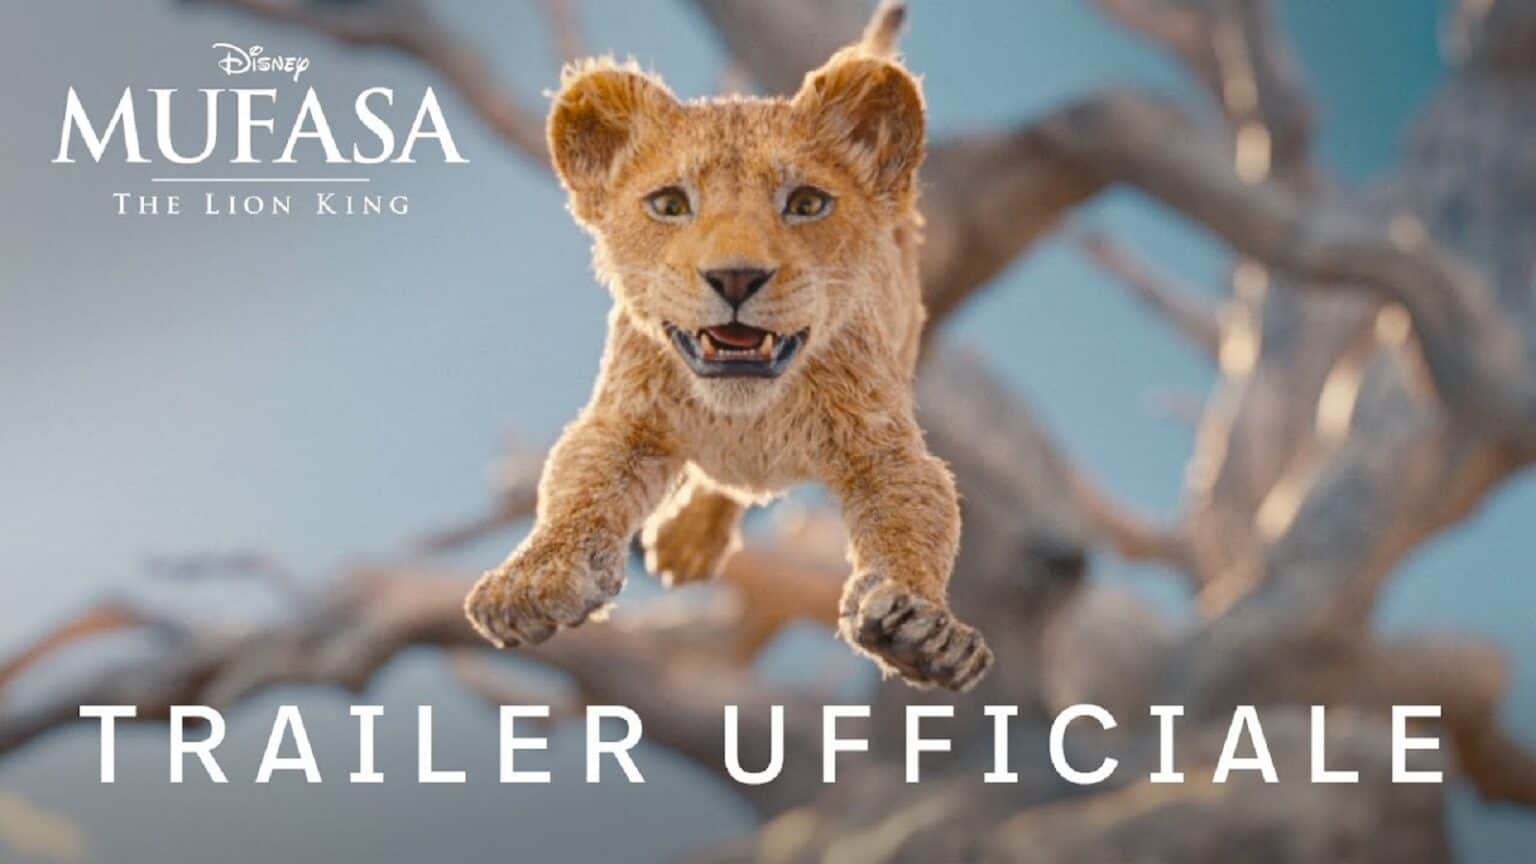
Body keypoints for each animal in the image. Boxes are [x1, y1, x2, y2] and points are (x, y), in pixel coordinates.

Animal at [463, 37, 993, 691]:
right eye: (669, 203)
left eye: (807, 203)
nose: (736, 277)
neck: (749, 415)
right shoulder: (625, 419)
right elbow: (577, 487)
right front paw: (532, 581)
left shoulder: (883, 446)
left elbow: (915, 519)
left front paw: (921, 629)